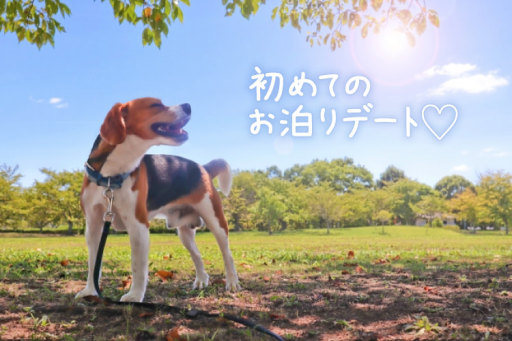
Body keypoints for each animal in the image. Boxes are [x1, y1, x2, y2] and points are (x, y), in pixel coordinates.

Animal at [75, 97, 241, 302]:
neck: (110, 176)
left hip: (216, 221)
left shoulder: (138, 226)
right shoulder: (93, 226)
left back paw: (232, 282)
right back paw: (202, 280)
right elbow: (93, 265)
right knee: (197, 256)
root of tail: (202, 168)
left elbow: (138, 267)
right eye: (155, 105)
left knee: (227, 254)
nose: (188, 106)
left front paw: (134, 296)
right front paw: (90, 291)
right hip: (185, 233)